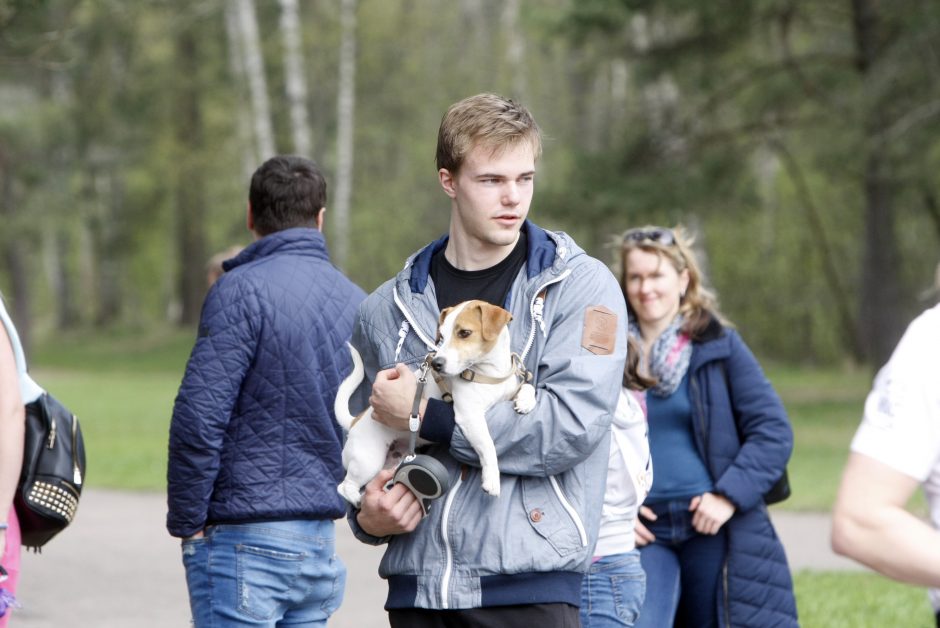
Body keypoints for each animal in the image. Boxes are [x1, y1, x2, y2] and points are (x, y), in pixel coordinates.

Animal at [334, 298, 536, 506]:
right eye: (442, 337)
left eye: (464, 333)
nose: (435, 364)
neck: (487, 374)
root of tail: (355, 421)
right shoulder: (470, 416)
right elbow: (488, 445)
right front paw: (492, 479)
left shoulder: (508, 392)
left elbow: (528, 387)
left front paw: (526, 401)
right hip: (367, 461)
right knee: (344, 486)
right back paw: (357, 499)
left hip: (390, 463)